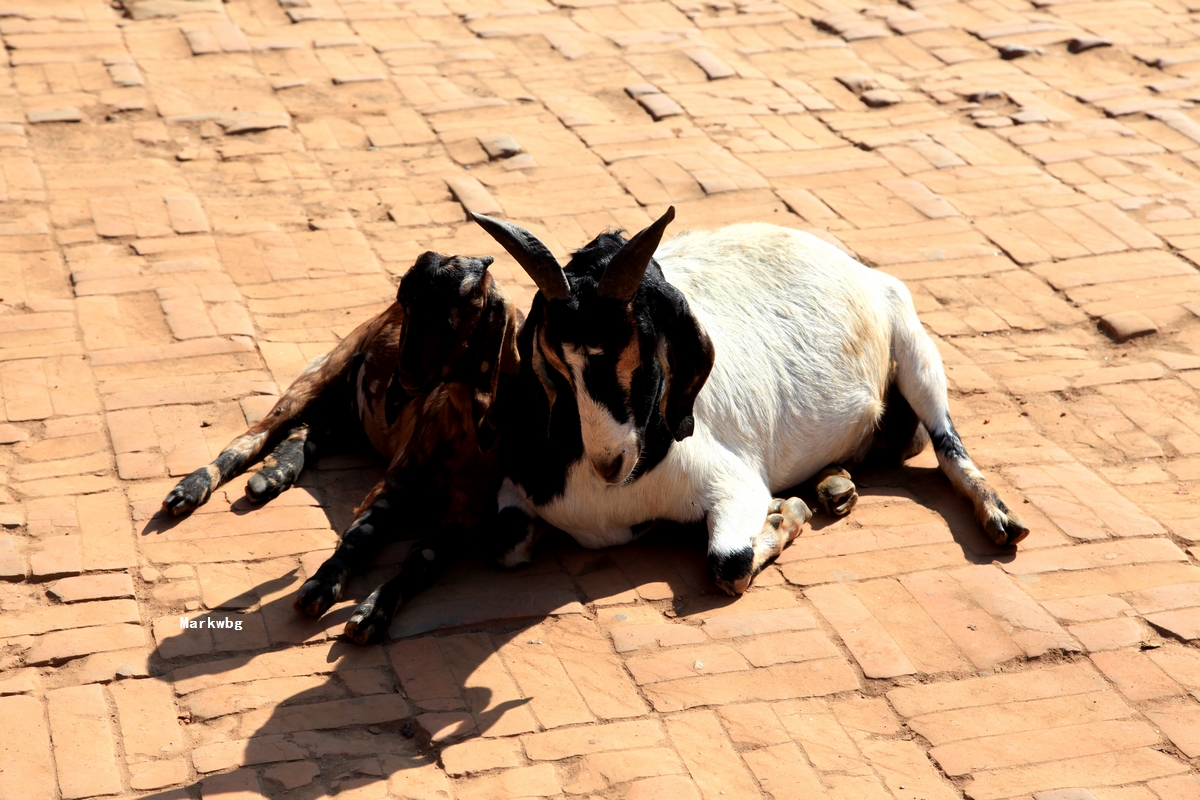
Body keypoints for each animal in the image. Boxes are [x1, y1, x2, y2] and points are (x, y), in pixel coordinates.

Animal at [159, 253, 516, 642]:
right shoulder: (395, 482)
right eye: (409, 299)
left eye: (468, 300)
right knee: (255, 436)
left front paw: (375, 609)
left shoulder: (470, 512)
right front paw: (321, 585)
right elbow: (361, 534)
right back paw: (192, 488)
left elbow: (425, 557)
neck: (461, 428)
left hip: (349, 416)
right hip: (320, 376)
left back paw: (273, 475)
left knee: (307, 430)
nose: (407, 372)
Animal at [472, 208, 1027, 594]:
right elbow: (503, 542)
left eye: (645, 348)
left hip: (912, 341)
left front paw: (785, 516)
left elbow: (728, 564)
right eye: (554, 360)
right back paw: (835, 484)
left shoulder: (732, 485)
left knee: (947, 445)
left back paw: (998, 518)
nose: (611, 463)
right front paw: (793, 508)